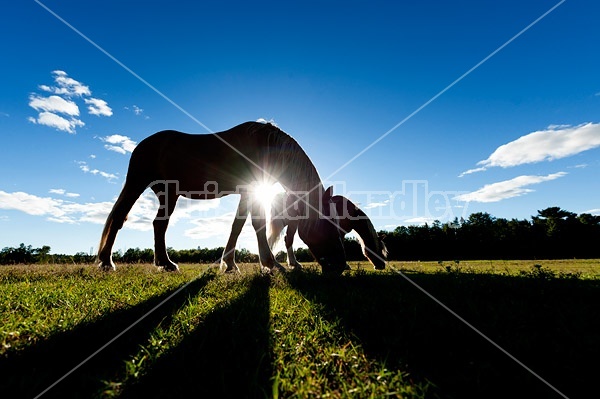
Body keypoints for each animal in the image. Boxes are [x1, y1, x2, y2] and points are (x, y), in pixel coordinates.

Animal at [98, 120, 346, 274]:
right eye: (328, 225)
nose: (342, 266)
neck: (266, 145)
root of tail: (142, 145)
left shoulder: (249, 191)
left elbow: (238, 224)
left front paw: (231, 264)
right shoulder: (252, 187)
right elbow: (255, 224)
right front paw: (270, 263)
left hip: (168, 194)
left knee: (159, 225)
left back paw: (165, 264)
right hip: (136, 184)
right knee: (119, 218)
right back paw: (107, 262)